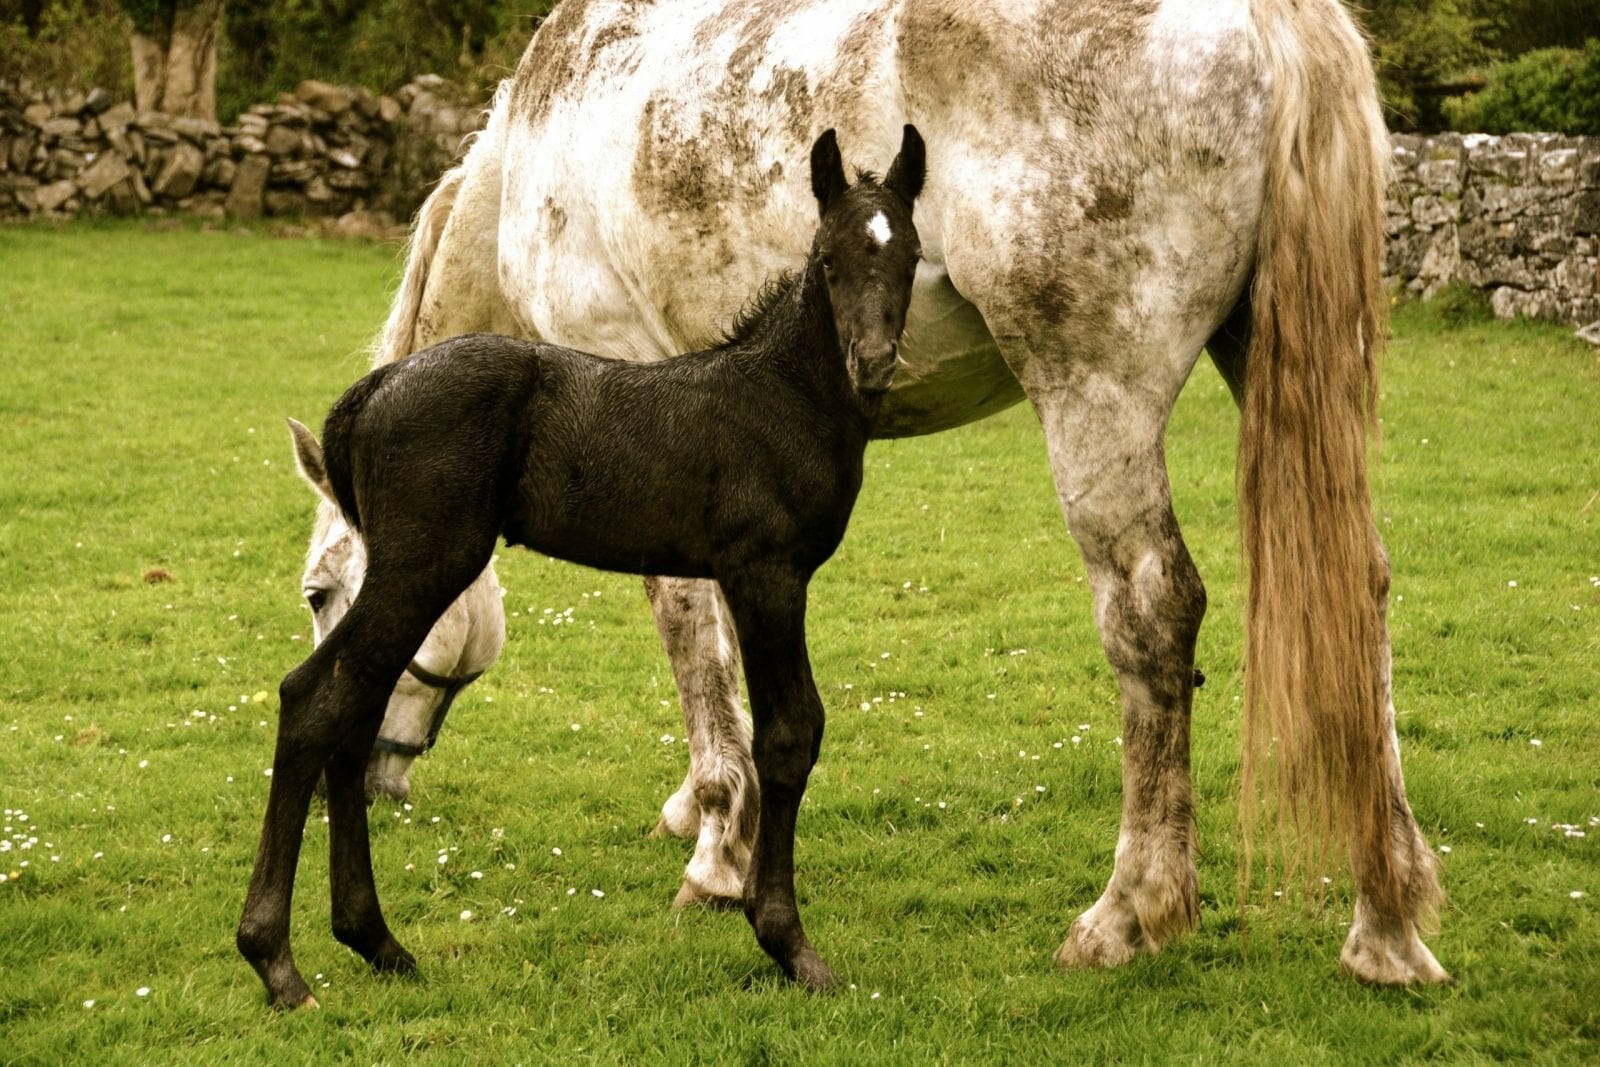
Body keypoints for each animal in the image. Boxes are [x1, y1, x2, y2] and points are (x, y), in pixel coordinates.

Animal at [239, 126, 928, 1007]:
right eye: (831, 258)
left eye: (910, 252)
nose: (871, 360)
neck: (779, 395)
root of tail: (377, 388)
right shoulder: (765, 574)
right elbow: (788, 732)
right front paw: (789, 944)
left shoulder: (755, 578)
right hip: (424, 562)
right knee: (314, 698)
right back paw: (277, 959)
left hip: (416, 572)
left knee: (348, 707)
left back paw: (376, 941)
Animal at [299, 0, 1449, 990]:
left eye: (319, 591)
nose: (365, 773)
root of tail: (1266, 19)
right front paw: (711, 817)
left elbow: (685, 622)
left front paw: (718, 846)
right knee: (1359, 588)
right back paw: (1386, 926)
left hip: (1098, 398)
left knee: (1154, 611)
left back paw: (1128, 913)